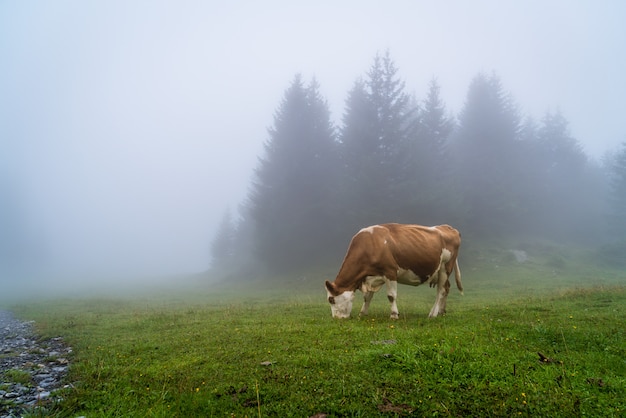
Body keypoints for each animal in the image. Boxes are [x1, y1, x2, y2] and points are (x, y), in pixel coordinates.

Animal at [324, 224, 460, 318]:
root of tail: (447, 227)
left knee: (440, 291)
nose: (336, 318)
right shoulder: (370, 277)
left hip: (445, 267)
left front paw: (394, 314)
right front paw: (363, 313)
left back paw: (433, 313)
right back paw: (441, 311)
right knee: (446, 288)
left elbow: (391, 296)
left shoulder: (390, 272)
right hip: (439, 272)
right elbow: (367, 297)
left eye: (331, 299)